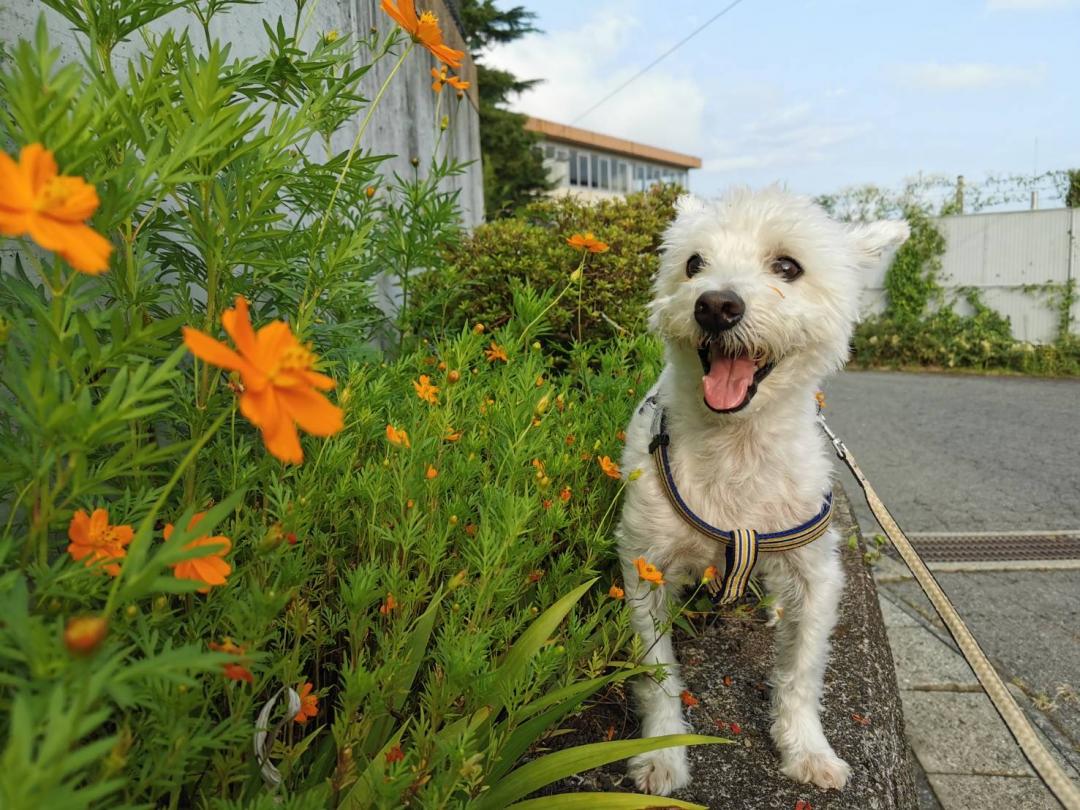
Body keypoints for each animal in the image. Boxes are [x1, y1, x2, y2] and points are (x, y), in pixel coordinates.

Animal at [613, 189, 907, 799]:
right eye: (693, 263)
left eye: (788, 267)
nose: (715, 305)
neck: (737, 446)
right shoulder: (645, 564)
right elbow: (658, 673)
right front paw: (663, 754)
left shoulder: (817, 576)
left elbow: (801, 672)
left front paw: (808, 751)